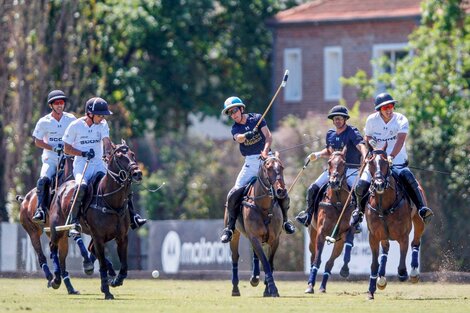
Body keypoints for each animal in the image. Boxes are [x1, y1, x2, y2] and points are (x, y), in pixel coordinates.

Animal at [17, 155, 79, 292]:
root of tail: (24, 199)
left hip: (54, 233)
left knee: (59, 256)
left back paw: (68, 286)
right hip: (33, 232)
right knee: (42, 256)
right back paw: (51, 278)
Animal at [49, 140, 143, 298]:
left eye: (133, 154)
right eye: (119, 156)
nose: (137, 173)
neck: (111, 202)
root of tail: (61, 187)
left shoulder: (122, 237)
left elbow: (124, 266)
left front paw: (115, 281)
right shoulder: (99, 236)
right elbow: (103, 264)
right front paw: (107, 291)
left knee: (89, 249)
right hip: (58, 228)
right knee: (53, 247)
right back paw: (55, 279)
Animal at [230, 152, 286, 296]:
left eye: (282, 167)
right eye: (269, 168)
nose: (281, 191)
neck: (264, 206)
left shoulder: (275, 239)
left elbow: (269, 263)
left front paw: (267, 289)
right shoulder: (254, 236)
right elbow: (265, 263)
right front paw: (272, 289)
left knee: (256, 255)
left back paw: (254, 278)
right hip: (235, 234)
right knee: (235, 257)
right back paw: (235, 289)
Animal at [304, 148, 356, 292]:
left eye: (344, 162)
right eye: (329, 162)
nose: (334, 182)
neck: (337, 201)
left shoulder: (344, 233)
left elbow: (345, 249)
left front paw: (344, 270)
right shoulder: (321, 233)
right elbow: (317, 260)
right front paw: (310, 286)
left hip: (338, 242)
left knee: (330, 262)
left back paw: (322, 286)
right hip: (312, 235)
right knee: (313, 257)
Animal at [364, 147, 426, 298]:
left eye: (386, 163)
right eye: (370, 163)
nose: (379, 184)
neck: (384, 205)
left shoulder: (403, 235)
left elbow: (402, 264)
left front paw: (404, 274)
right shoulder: (373, 236)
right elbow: (374, 264)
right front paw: (371, 290)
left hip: (419, 221)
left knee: (415, 242)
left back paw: (414, 273)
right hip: (384, 235)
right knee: (385, 248)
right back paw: (381, 278)